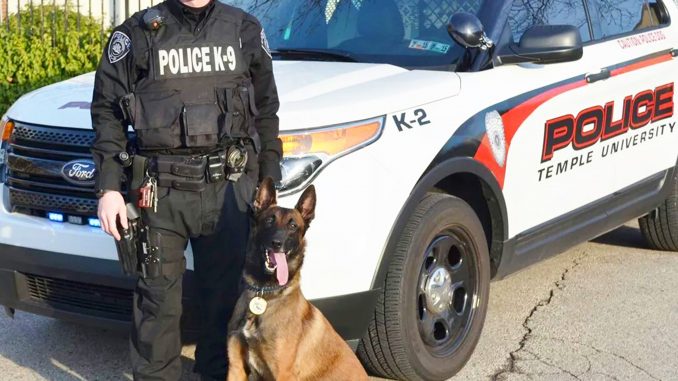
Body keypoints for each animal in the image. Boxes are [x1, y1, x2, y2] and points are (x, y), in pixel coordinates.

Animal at [226, 178, 370, 380]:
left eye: (293, 226)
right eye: (269, 221)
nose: (277, 243)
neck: (265, 292)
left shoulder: (282, 374)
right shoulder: (236, 367)